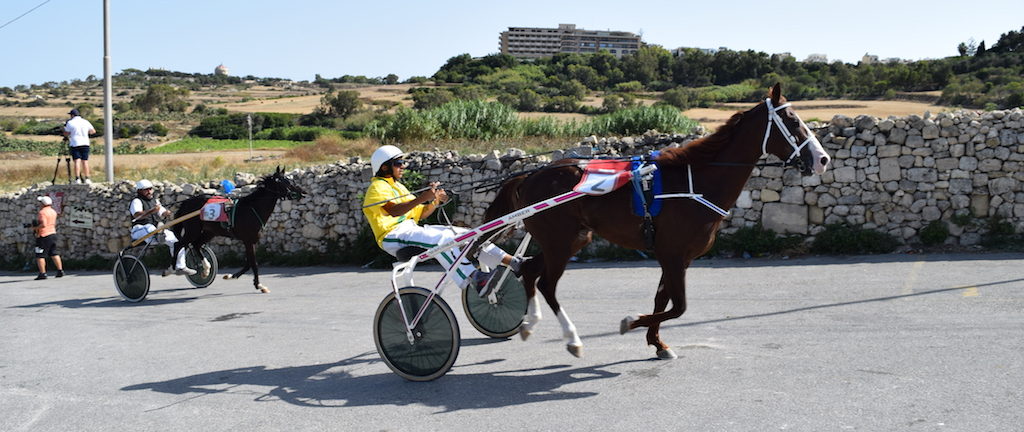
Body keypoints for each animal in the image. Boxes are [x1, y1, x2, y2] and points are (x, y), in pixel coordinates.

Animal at [172, 166, 305, 292]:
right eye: (284, 181)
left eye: (290, 180)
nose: (302, 192)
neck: (252, 208)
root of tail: (187, 202)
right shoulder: (248, 240)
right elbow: (253, 263)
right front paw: (259, 285)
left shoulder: (251, 241)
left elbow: (249, 263)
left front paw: (232, 276)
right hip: (192, 230)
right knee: (179, 244)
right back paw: (176, 268)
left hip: (210, 231)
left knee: (196, 244)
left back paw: (205, 269)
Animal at [481, 83, 831, 358]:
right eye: (792, 120)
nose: (823, 159)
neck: (695, 182)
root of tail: (530, 176)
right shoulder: (673, 254)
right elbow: (679, 307)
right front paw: (629, 323)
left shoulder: (676, 256)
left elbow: (663, 300)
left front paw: (658, 343)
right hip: (560, 242)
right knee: (546, 284)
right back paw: (572, 338)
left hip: (571, 239)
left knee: (528, 271)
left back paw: (529, 324)